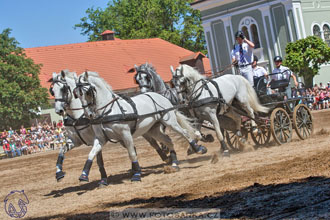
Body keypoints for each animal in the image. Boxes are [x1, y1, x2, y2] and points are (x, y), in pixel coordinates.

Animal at [74, 71, 206, 181]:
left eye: (88, 92)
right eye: (77, 94)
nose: (89, 114)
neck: (108, 111)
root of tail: (160, 96)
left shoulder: (125, 134)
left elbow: (132, 153)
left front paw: (137, 174)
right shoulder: (101, 138)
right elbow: (91, 153)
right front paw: (84, 175)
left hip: (170, 122)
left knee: (184, 133)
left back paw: (198, 149)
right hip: (153, 130)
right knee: (168, 140)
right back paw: (174, 164)